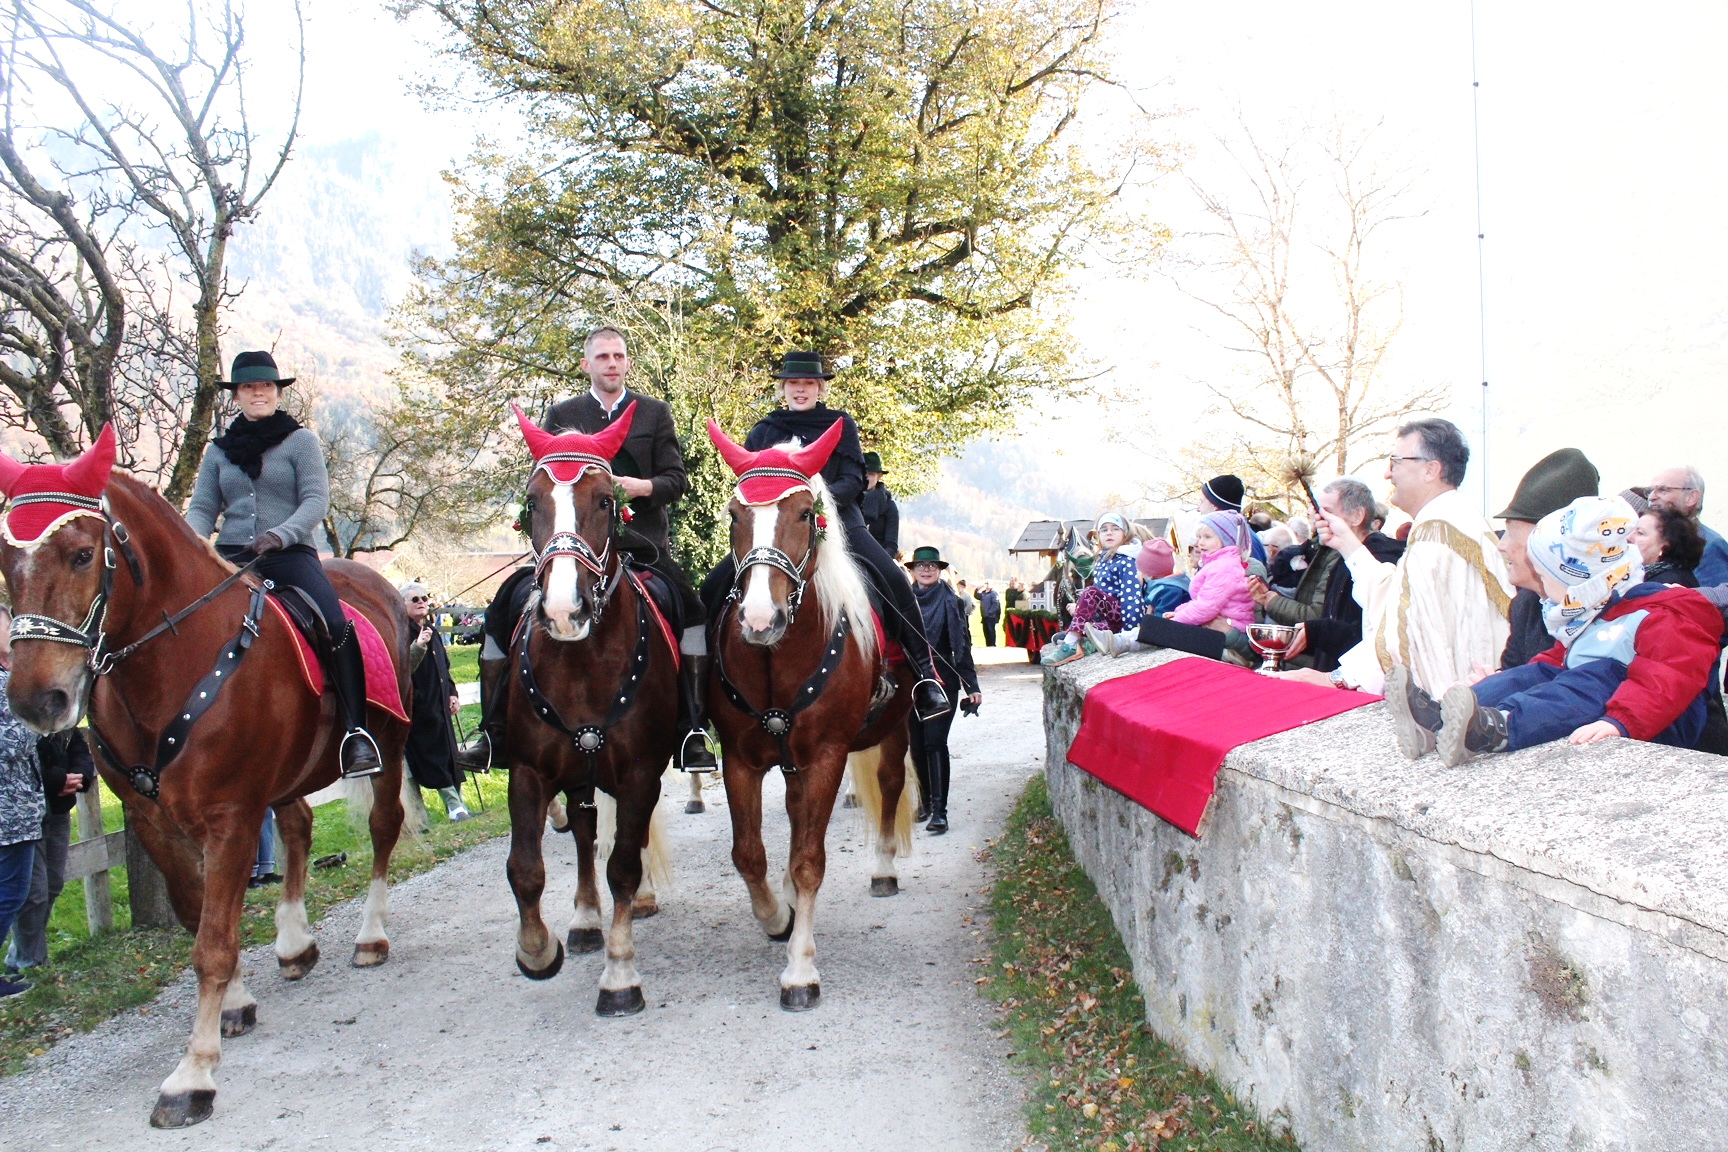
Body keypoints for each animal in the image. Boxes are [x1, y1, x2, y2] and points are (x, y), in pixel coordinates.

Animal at [0, 427, 411, 1128]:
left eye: (81, 555)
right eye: (5, 558)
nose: (38, 700)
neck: (172, 660)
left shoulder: (230, 817)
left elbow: (212, 942)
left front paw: (192, 1074)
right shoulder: (154, 821)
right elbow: (199, 919)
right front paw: (236, 1005)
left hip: (389, 745)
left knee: (383, 830)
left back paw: (370, 935)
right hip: (286, 778)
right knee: (298, 826)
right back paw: (294, 943)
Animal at [499, 404, 682, 1016]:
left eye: (604, 501)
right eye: (533, 502)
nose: (563, 609)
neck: (580, 662)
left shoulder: (641, 772)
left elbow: (622, 864)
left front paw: (620, 975)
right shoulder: (529, 771)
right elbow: (526, 869)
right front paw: (538, 950)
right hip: (577, 771)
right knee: (581, 834)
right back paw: (582, 921)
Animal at [704, 418, 919, 1011]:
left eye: (805, 513)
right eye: (734, 515)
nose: (760, 619)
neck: (777, 659)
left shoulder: (826, 757)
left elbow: (808, 861)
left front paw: (800, 970)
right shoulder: (742, 760)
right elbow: (749, 853)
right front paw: (777, 917)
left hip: (896, 728)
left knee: (889, 786)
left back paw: (884, 868)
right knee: (797, 813)